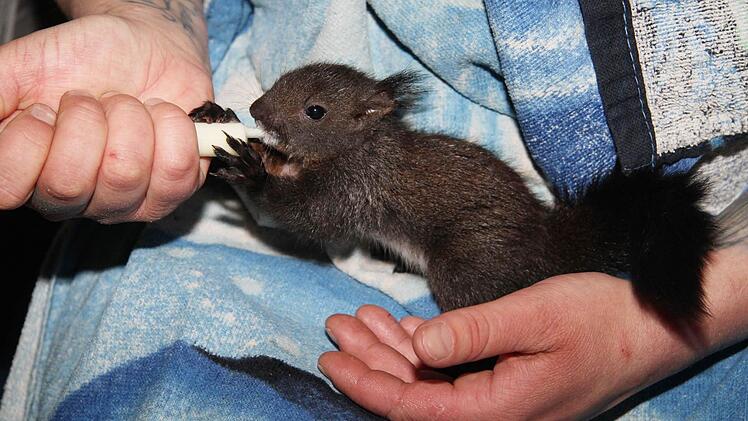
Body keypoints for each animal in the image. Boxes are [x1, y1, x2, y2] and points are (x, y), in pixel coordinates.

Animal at [189, 63, 716, 323]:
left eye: (314, 111)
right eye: (281, 80)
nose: (256, 108)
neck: (364, 144)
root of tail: (546, 250)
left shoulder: (356, 187)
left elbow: (309, 216)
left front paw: (251, 172)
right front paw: (221, 121)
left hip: (469, 259)